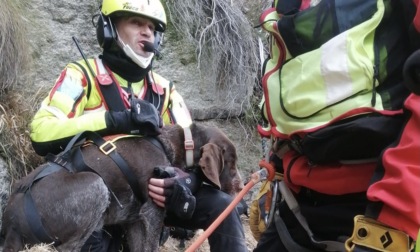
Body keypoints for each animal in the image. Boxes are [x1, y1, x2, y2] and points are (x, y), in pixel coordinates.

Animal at [0, 123, 243, 252]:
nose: (241, 188)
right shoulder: (152, 212)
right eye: (231, 163)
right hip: (96, 185)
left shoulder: (135, 220)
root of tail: (10, 226)